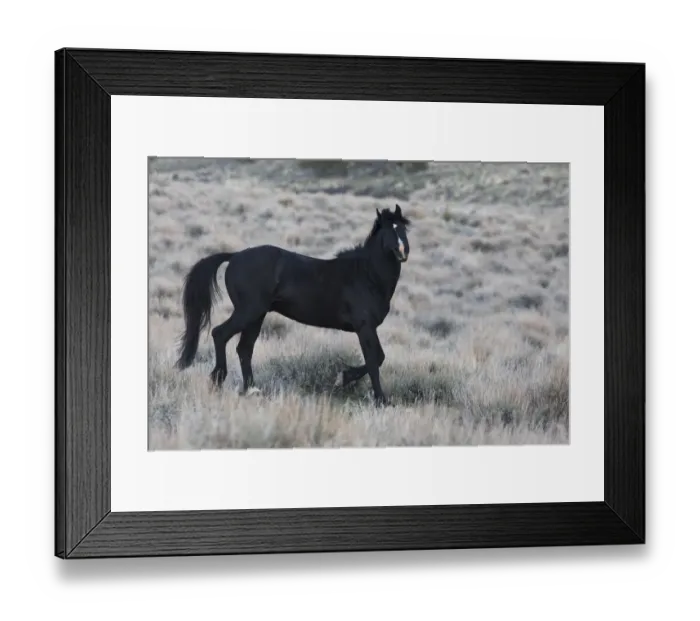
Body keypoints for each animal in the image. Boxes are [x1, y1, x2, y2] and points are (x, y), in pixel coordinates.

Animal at [175, 203, 411, 406]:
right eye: (388, 230)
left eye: (404, 228)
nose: (402, 251)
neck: (367, 275)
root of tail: (234, 256)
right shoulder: (364, 327)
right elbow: (374, 360)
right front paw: (375, 397)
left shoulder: (367, 328)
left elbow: (377, 359)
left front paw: (346, 379)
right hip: (248, 311)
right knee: (220, 334)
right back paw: (218, 379)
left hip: (257, 316)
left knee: (244, 348)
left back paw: (251, 390)